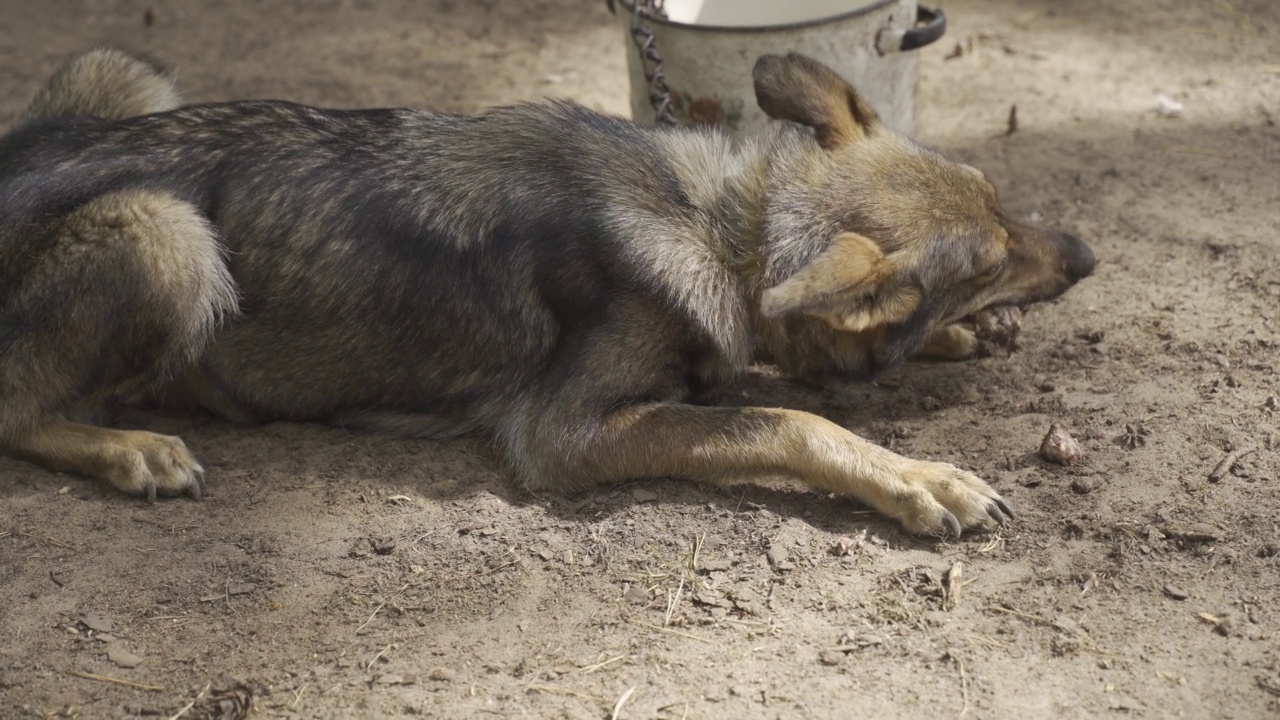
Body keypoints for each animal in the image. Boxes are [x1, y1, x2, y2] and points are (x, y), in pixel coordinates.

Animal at [0, 49, 1095, 532]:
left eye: (1001, 204)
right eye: (982, 260)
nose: (1087, 254)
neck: (723, 224)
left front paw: (959, 341)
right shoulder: (567, 435)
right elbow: (789, 419)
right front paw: (918, 478)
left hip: (126, 74)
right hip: (172, 237)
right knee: (18, 409)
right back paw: (132, 449)